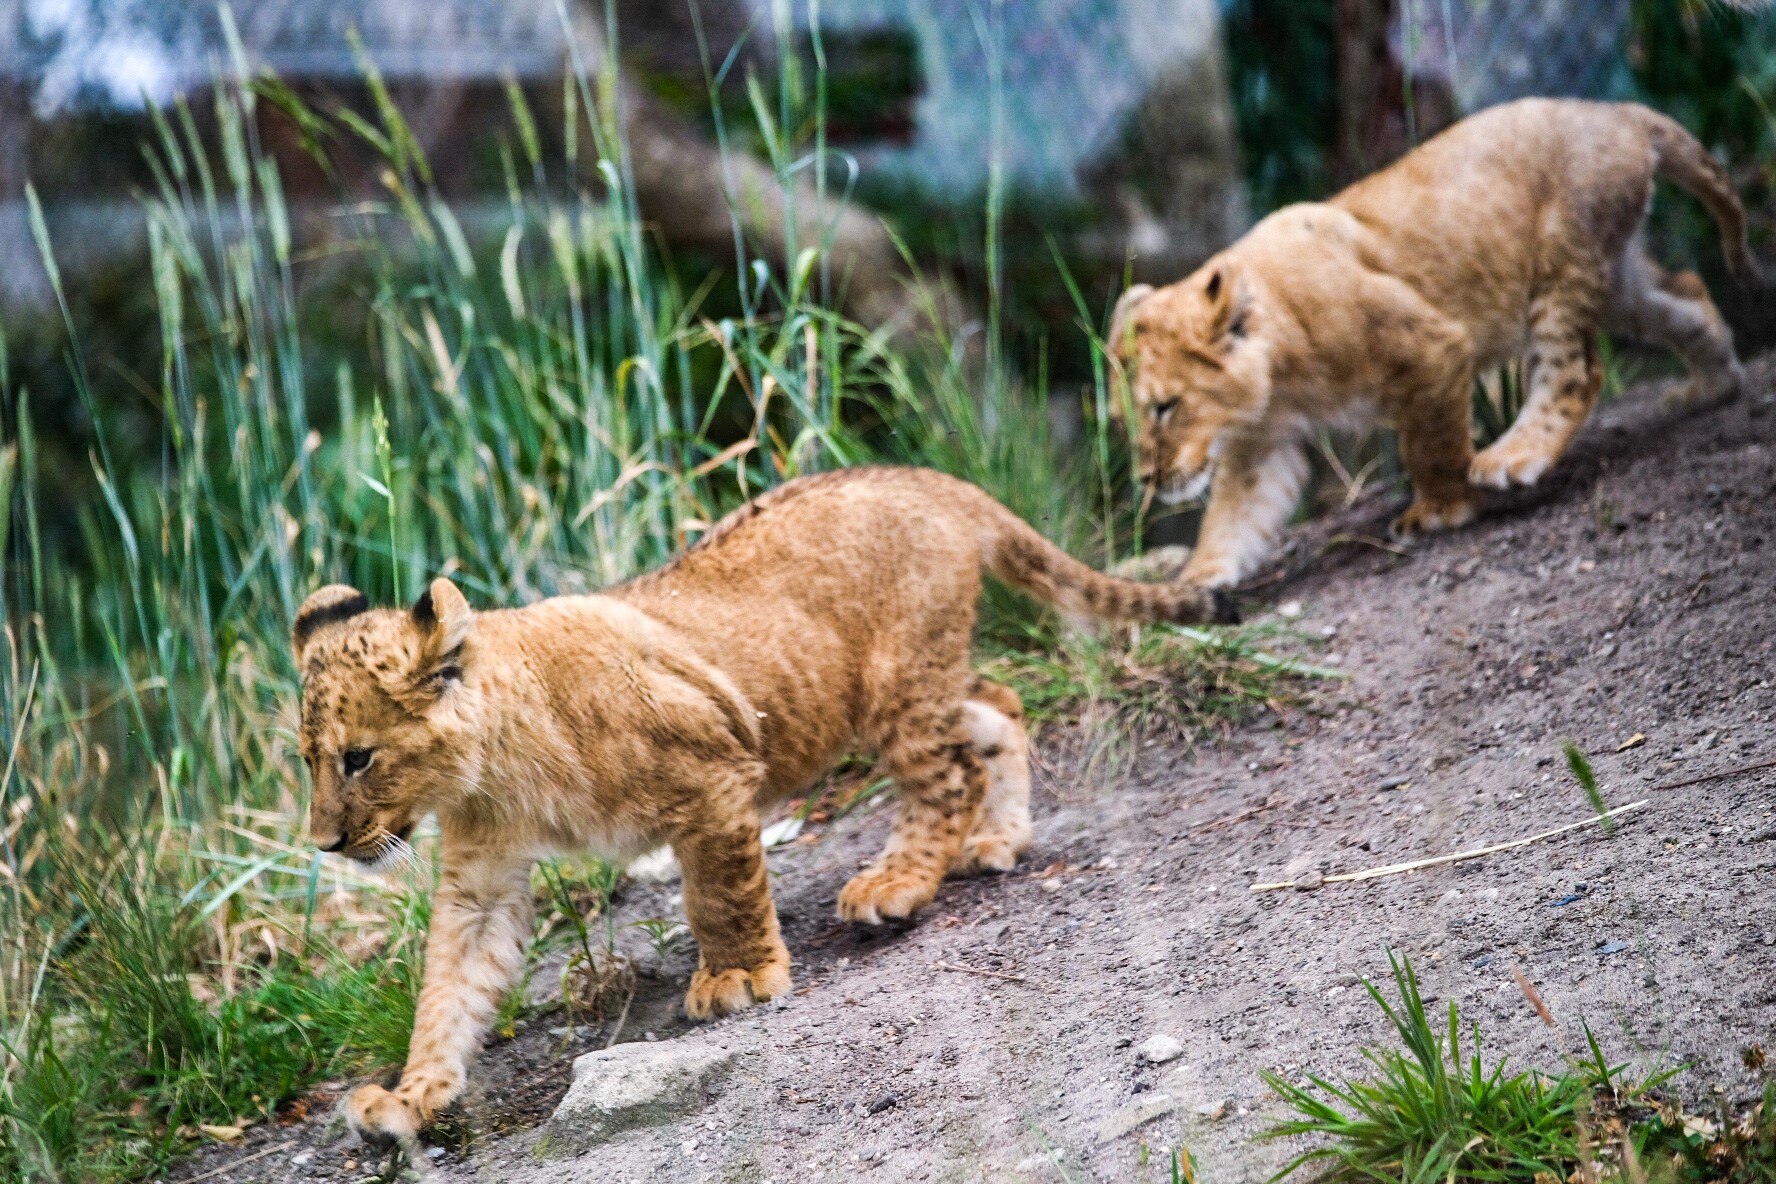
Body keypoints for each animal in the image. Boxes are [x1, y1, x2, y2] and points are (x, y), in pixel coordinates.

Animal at [291, 466, 1237, 1144]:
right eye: (308, 760)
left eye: (358, 757)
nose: (325, 844)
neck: (497, 770)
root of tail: (931, 478)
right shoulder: (481, 878)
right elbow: (449, 989)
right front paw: (412, 1098)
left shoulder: (711, 778)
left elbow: (719, 891)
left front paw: (738, 978)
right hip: (915, 683)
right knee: (997, 704)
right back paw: (997, 841)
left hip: (894, 686)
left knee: (948, 774)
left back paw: (897, 883)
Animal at [1111, 98, 1752, 589]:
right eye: (1125, 420)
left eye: (1164, 408)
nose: (1145, 480)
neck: (1282, 376)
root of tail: (1618, 113)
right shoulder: (1262, 443)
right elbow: (1232, 517)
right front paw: (1192, 584)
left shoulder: (1434, 346)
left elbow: (1431, 444)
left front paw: (1439, 510)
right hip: (1616, 279)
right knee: (1688, 297)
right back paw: (1710, 386)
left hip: (1560, 261)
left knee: (1576, 372)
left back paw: (1513, 455)